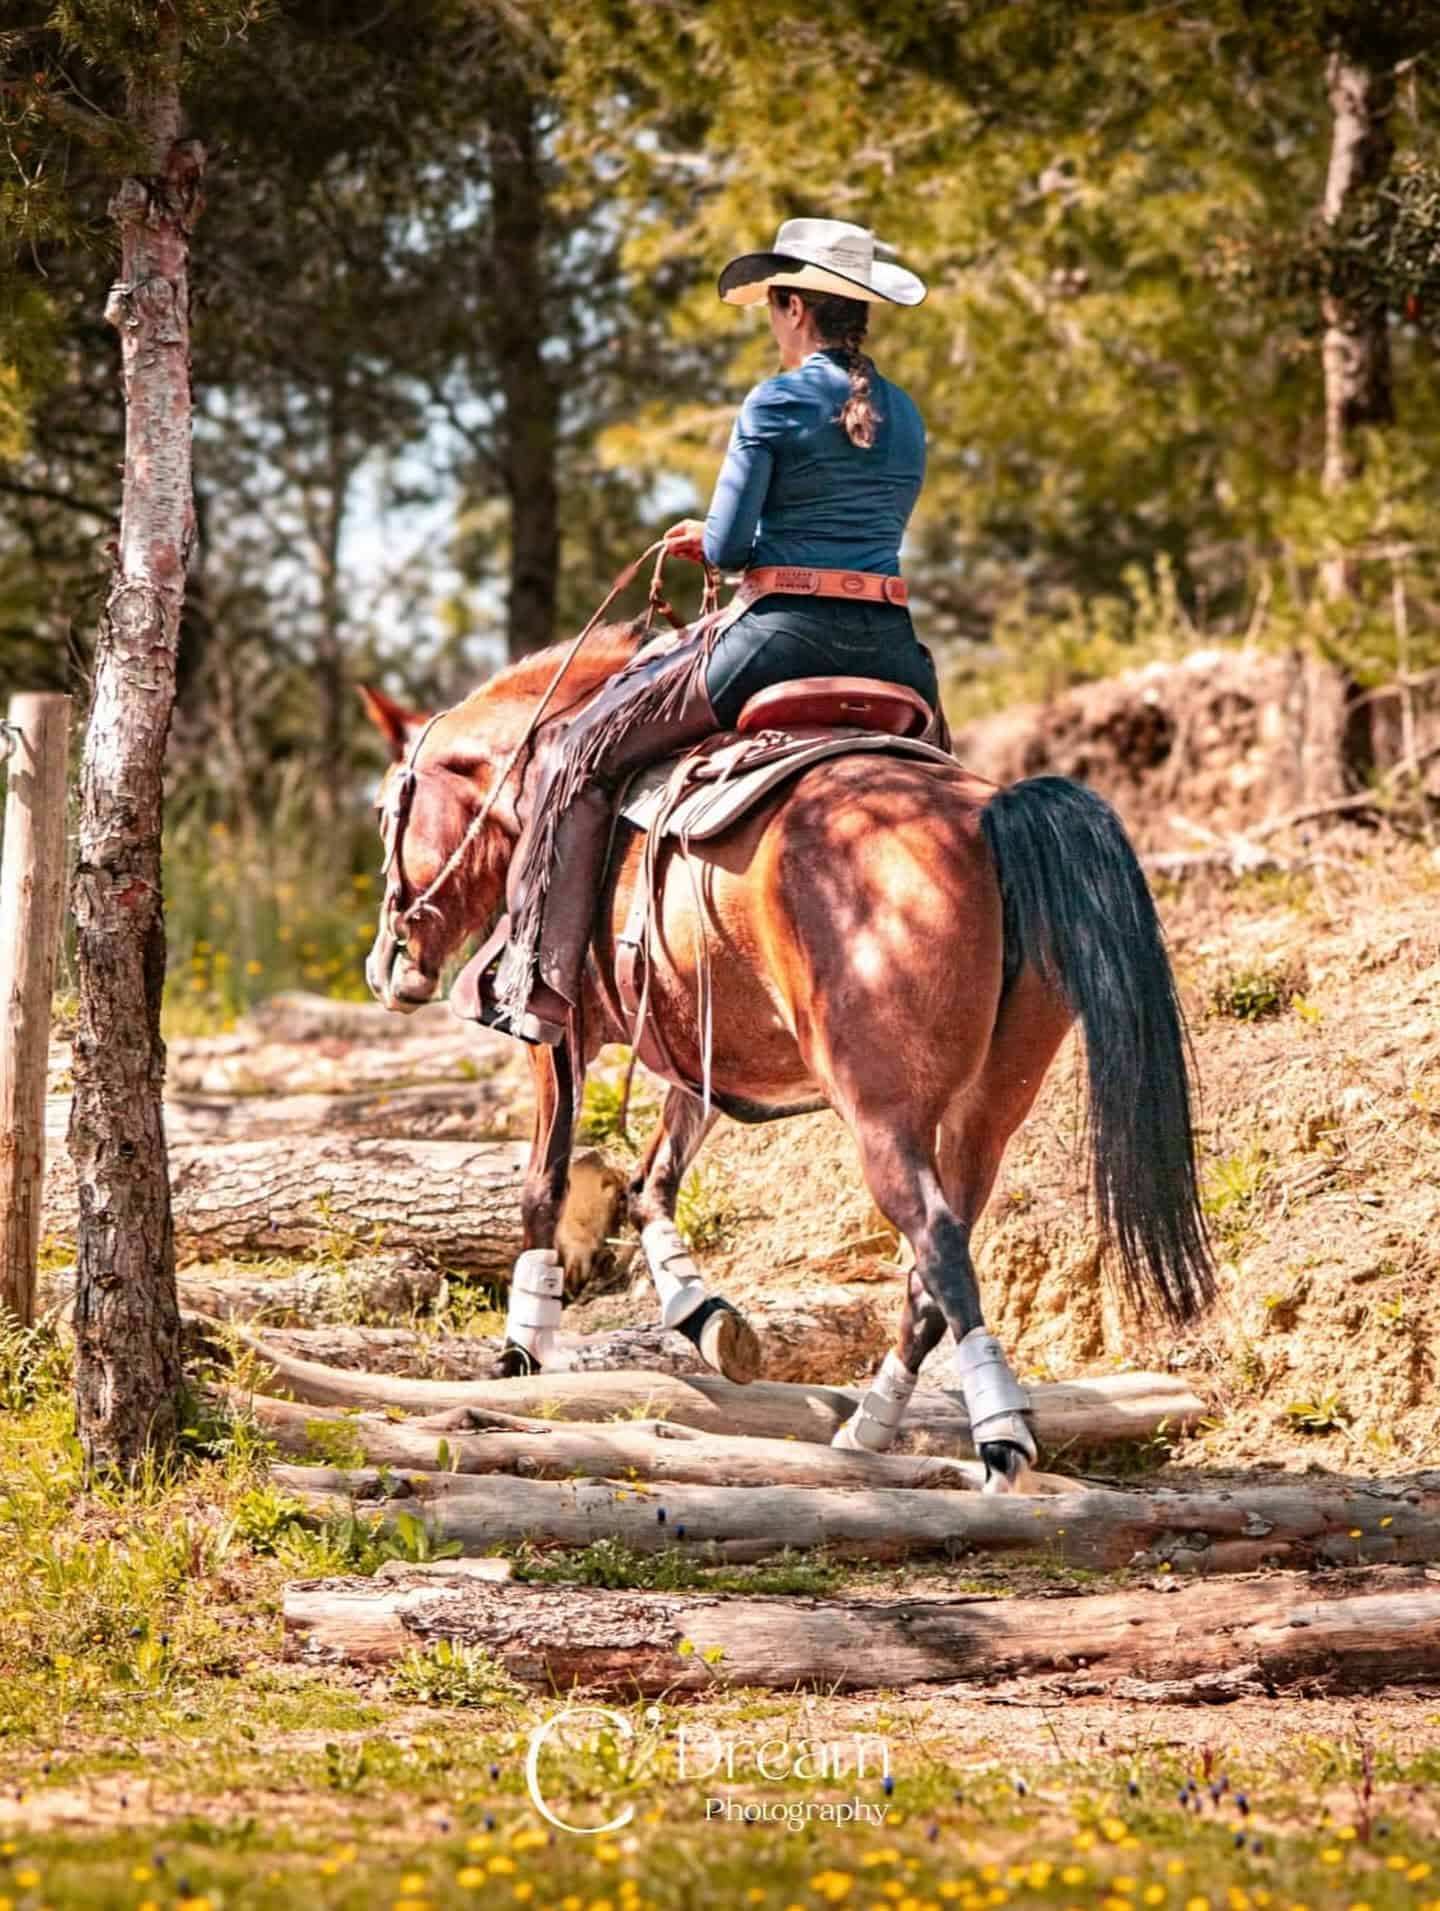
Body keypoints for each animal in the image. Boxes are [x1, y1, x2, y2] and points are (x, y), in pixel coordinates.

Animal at [360, 621, 1213, 1491]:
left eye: (389, 809)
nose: (388, 965)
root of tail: (989, 815)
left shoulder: (557, 1035)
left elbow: (546, 1184)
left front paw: (521, 1348)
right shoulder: (697, 1050)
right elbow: (650, 1184)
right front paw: (702, 1315)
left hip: (884, 1117)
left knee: (938, 1244)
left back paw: (999, 1436)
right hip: (987, 1114)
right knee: (933, 1266)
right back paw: (871, 1427)